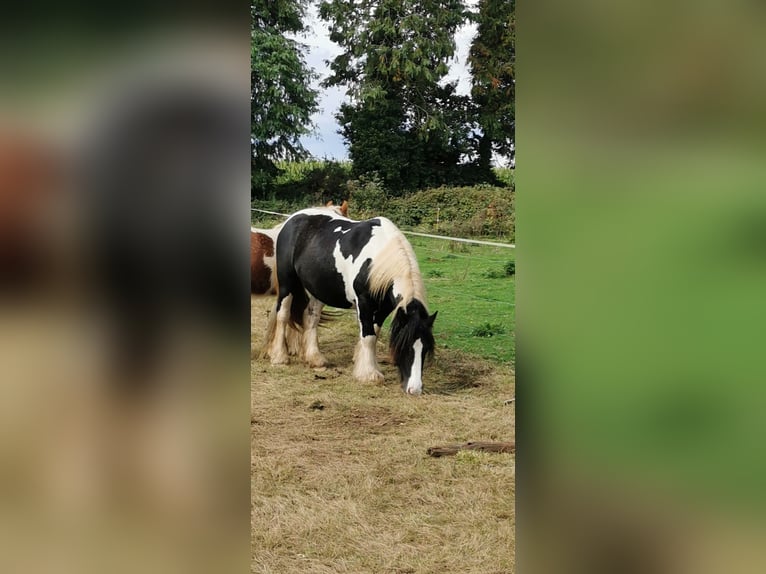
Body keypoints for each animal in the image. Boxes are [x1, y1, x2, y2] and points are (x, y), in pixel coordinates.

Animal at [266, 207, 438, 396]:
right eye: (404, 347)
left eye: (426, 349)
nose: (415, 389)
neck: (378, 258)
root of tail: (291, 220)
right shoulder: (364, 303)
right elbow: (368, 337)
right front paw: (369, 374)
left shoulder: (383, 308)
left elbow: (374, 334)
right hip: (287, 283)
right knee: (283, 315)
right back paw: (279, 357)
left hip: (319, 290)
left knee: (311, 318)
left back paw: (315, 359)